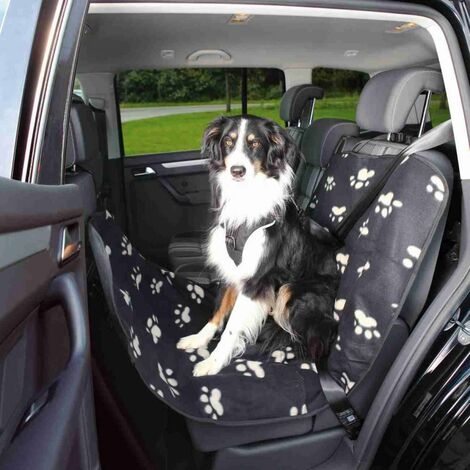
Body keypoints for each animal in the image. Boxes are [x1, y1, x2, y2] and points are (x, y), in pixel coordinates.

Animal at [176, 115, 338, 376]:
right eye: (228, 142)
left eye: (255, 144)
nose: (237, 171)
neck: (245, 196)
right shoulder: (233, 271)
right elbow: (219, 310)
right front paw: (199, 339)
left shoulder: (255, 280)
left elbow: (232, 328)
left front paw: (214, 361)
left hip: (293, 290)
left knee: (308, 338)